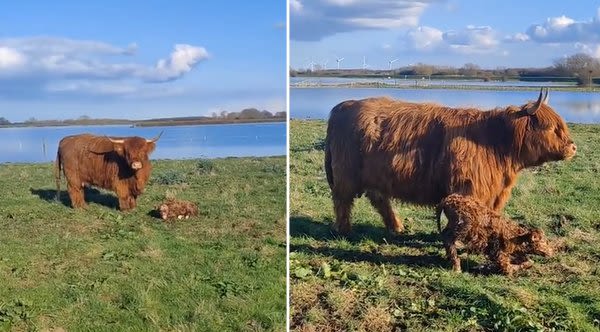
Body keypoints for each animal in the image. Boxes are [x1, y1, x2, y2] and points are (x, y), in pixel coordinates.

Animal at [326, 87, 576, 235]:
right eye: (551, 128)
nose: (573, 147)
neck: (495, 141)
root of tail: (343, 106)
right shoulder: (468, 187)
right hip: (346, 173)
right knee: (342, 200)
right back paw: (344, 229)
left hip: (376, 176)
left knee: (379, 199)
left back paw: (396, 227)